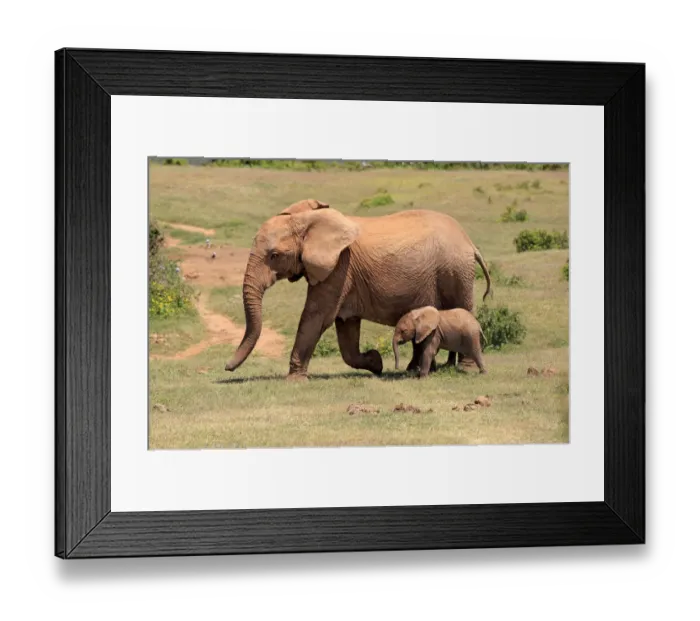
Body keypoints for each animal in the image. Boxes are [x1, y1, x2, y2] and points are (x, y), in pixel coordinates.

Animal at [224, 199, 492, 380]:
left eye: (274, 255)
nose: (226, 367)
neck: (309, 220)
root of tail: (469, 243)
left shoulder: (339, 267)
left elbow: (317, 316)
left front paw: (294, 380)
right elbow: (346, 327)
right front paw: (376, 363)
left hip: (455, 273)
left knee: (463, 311)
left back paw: (462, 369)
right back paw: (420, 369)